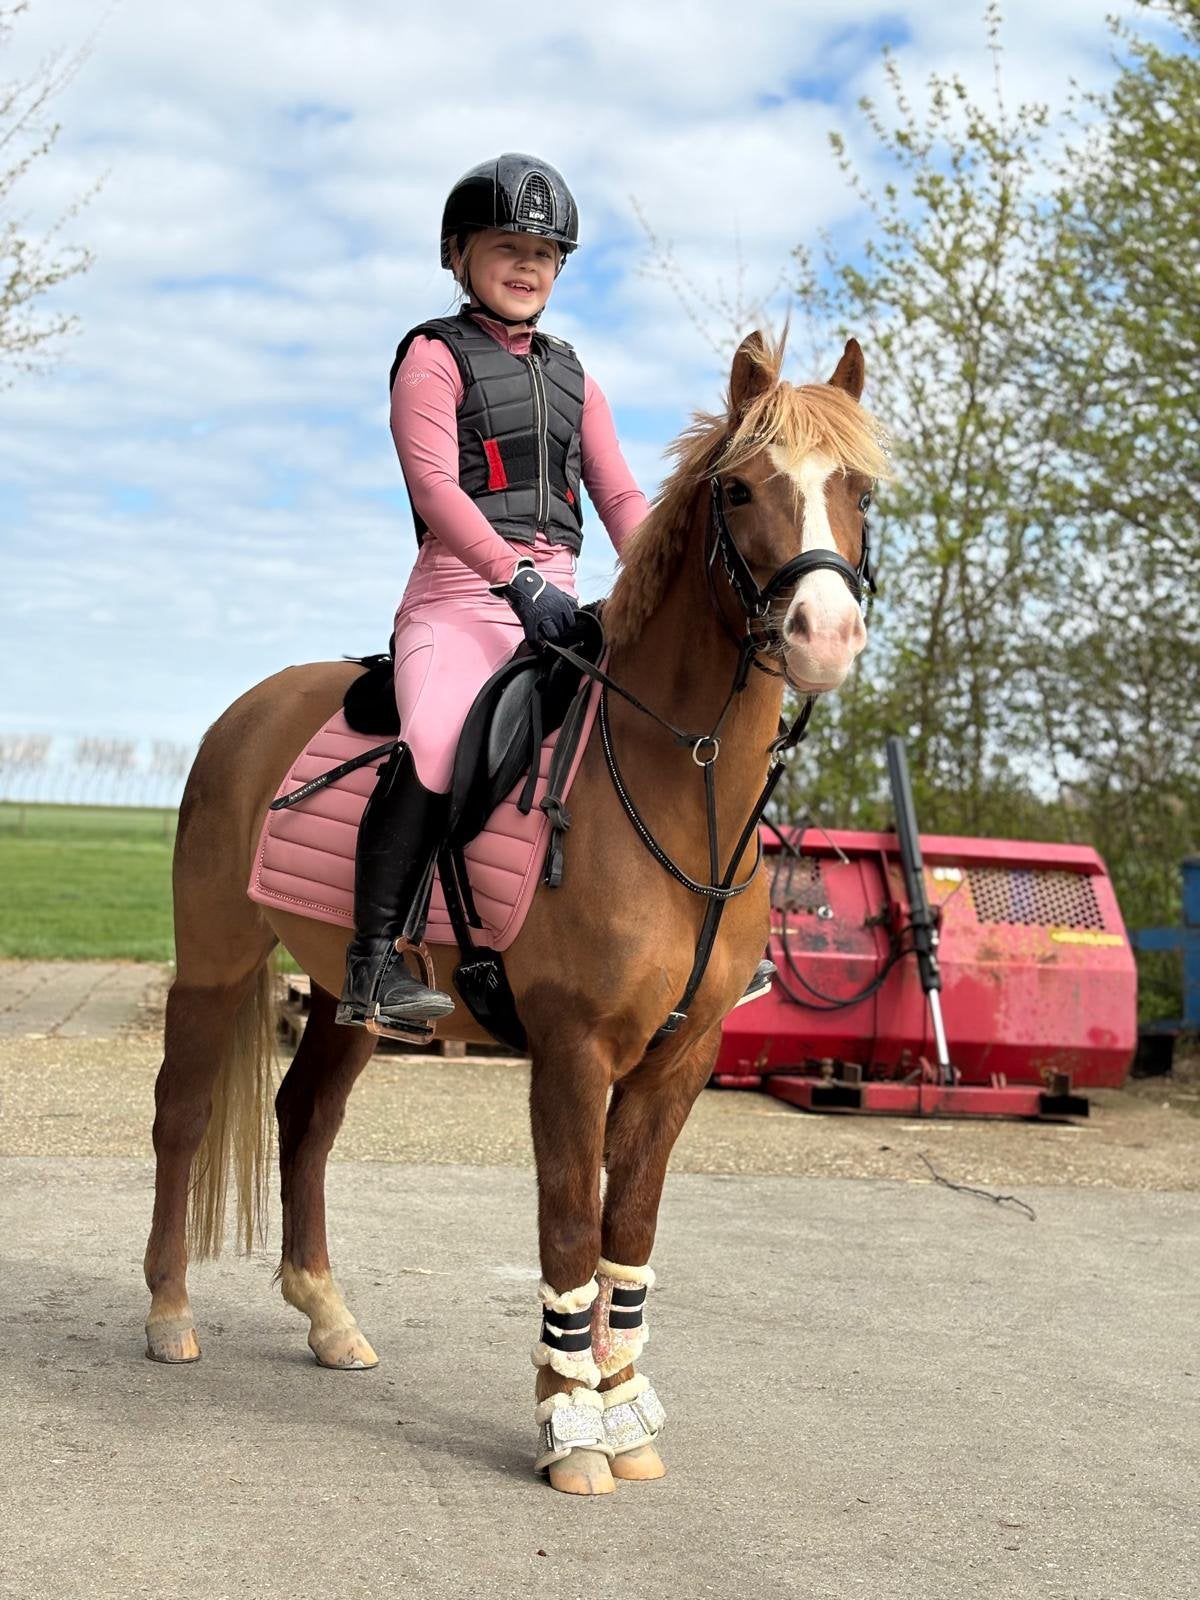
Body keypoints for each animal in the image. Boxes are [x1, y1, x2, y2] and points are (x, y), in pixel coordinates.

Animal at [142, 328, 887, 1496]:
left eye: (856, 488)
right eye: (739, 488)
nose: (825, 631)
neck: (678, 788)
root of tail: (248, 711)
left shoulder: (679, 1061)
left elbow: (629, 1230)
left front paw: (624, 1410)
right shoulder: (574, 1053)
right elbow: (570, 1226)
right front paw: (571, 1430)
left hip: (352, 999)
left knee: (306, 1120)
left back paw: (327, 1316)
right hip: (216, 962)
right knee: (180, 1114)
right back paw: (170, 1311)